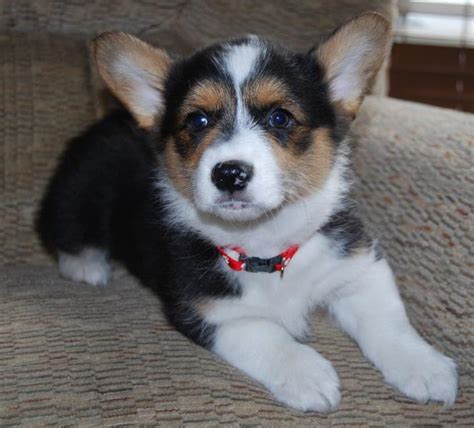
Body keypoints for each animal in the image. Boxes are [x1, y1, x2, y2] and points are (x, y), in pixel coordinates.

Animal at [39, 13, 458, 412]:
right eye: (198, 120)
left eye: (280, 117)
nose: (229, 173)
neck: (263, 244)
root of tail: (106, 120)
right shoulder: (208, 311)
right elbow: (265, 332)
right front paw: (306, 374)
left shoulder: (359, 268)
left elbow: (388, 320)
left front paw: (425, 367)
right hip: (78, 196)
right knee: (63, 232)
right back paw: (87, 267)